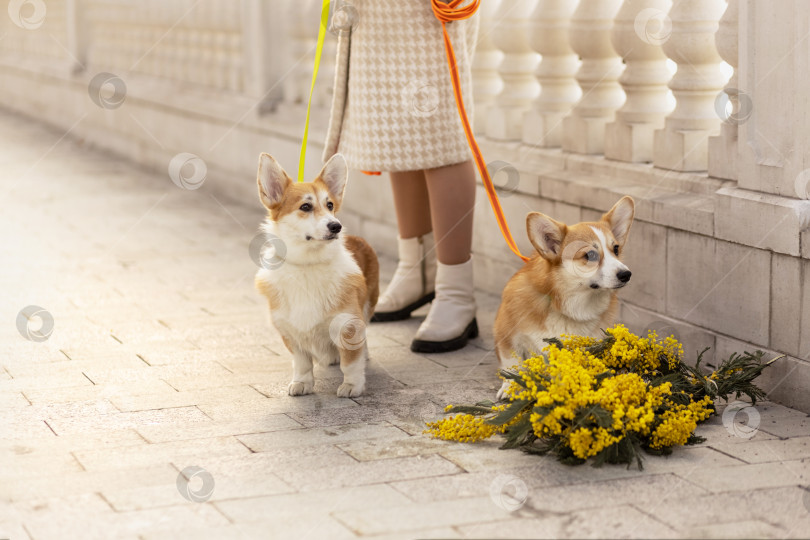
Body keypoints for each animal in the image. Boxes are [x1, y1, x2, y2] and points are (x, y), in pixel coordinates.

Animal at [252, 152, 378, 396]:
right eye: (306, 206)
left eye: (330, 205)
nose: (336, 226)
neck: (307, 264)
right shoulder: (289, 331)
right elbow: (301, 363)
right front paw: (302, 383)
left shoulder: (348, 324)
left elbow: (350, 362)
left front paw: (352, 386)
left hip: (367, 305)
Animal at [490, 196, 636, 398]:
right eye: (590, 255)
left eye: (616, 249)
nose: (626, 274)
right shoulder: (506, 335)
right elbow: (512, 364)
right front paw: (512, 387)